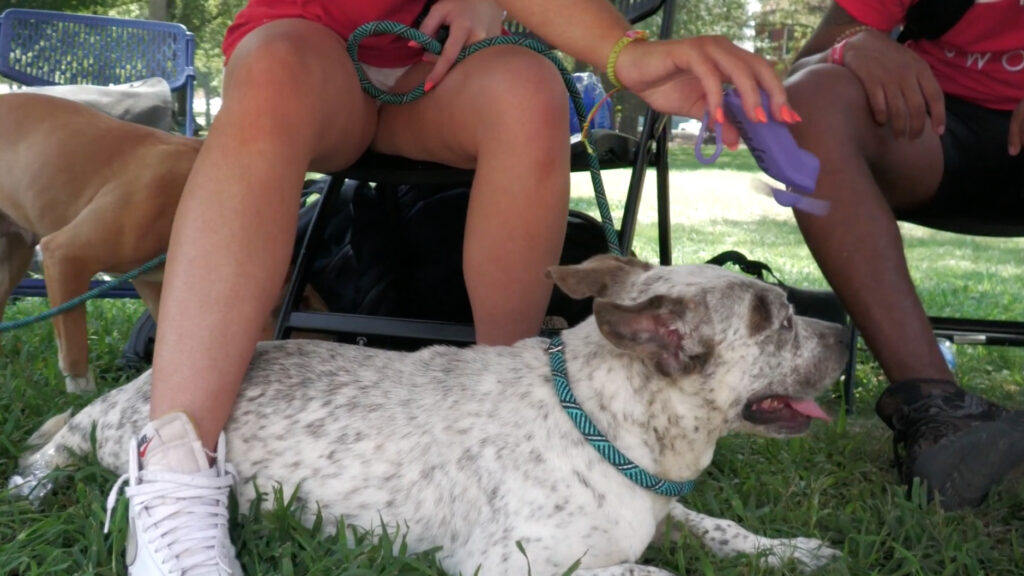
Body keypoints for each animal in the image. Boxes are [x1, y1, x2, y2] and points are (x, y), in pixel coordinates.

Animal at [9, 253, 847, 569]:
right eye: (778, 319)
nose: (846, 339)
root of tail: (145, 382)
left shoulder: (662, 508)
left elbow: (721, 528)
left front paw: (791, 550)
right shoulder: (506, 567)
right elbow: (650, 575)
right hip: (113, 433)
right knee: (56, 444)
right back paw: (29, 484)